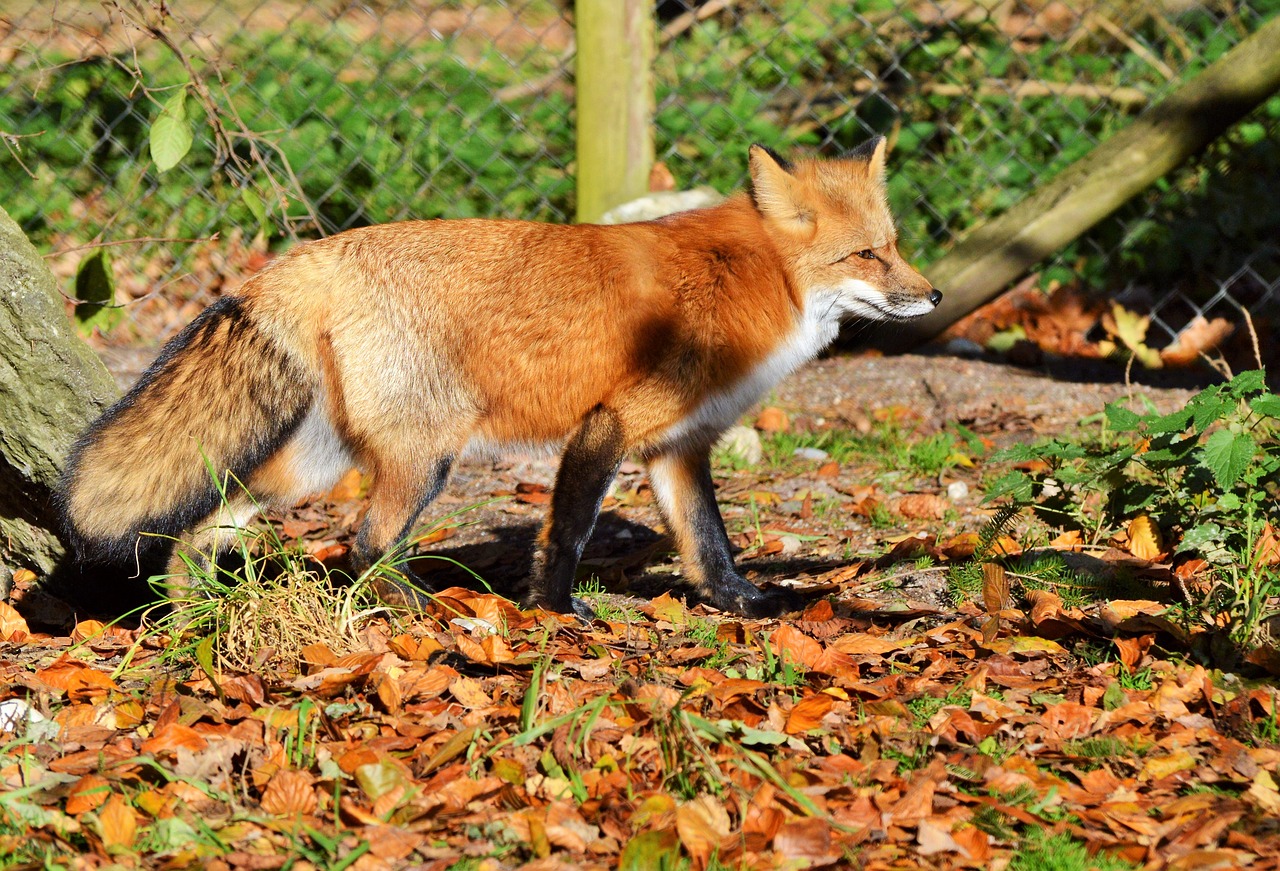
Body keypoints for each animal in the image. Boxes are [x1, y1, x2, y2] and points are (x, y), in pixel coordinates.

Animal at [57, 137, 942, 619]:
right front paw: (553, 612)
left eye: (895, 246)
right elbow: (568, 532)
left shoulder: (678, 445)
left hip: (315, 462)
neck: (752, 277)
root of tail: (310, 254)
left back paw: (196, 609)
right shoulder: (607, 422)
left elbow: (710, 543)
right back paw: (431, 611)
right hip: (426, 456)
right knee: (365, 546)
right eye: (866, 255)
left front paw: (744, 604)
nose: (933, 295)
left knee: (208, 527)